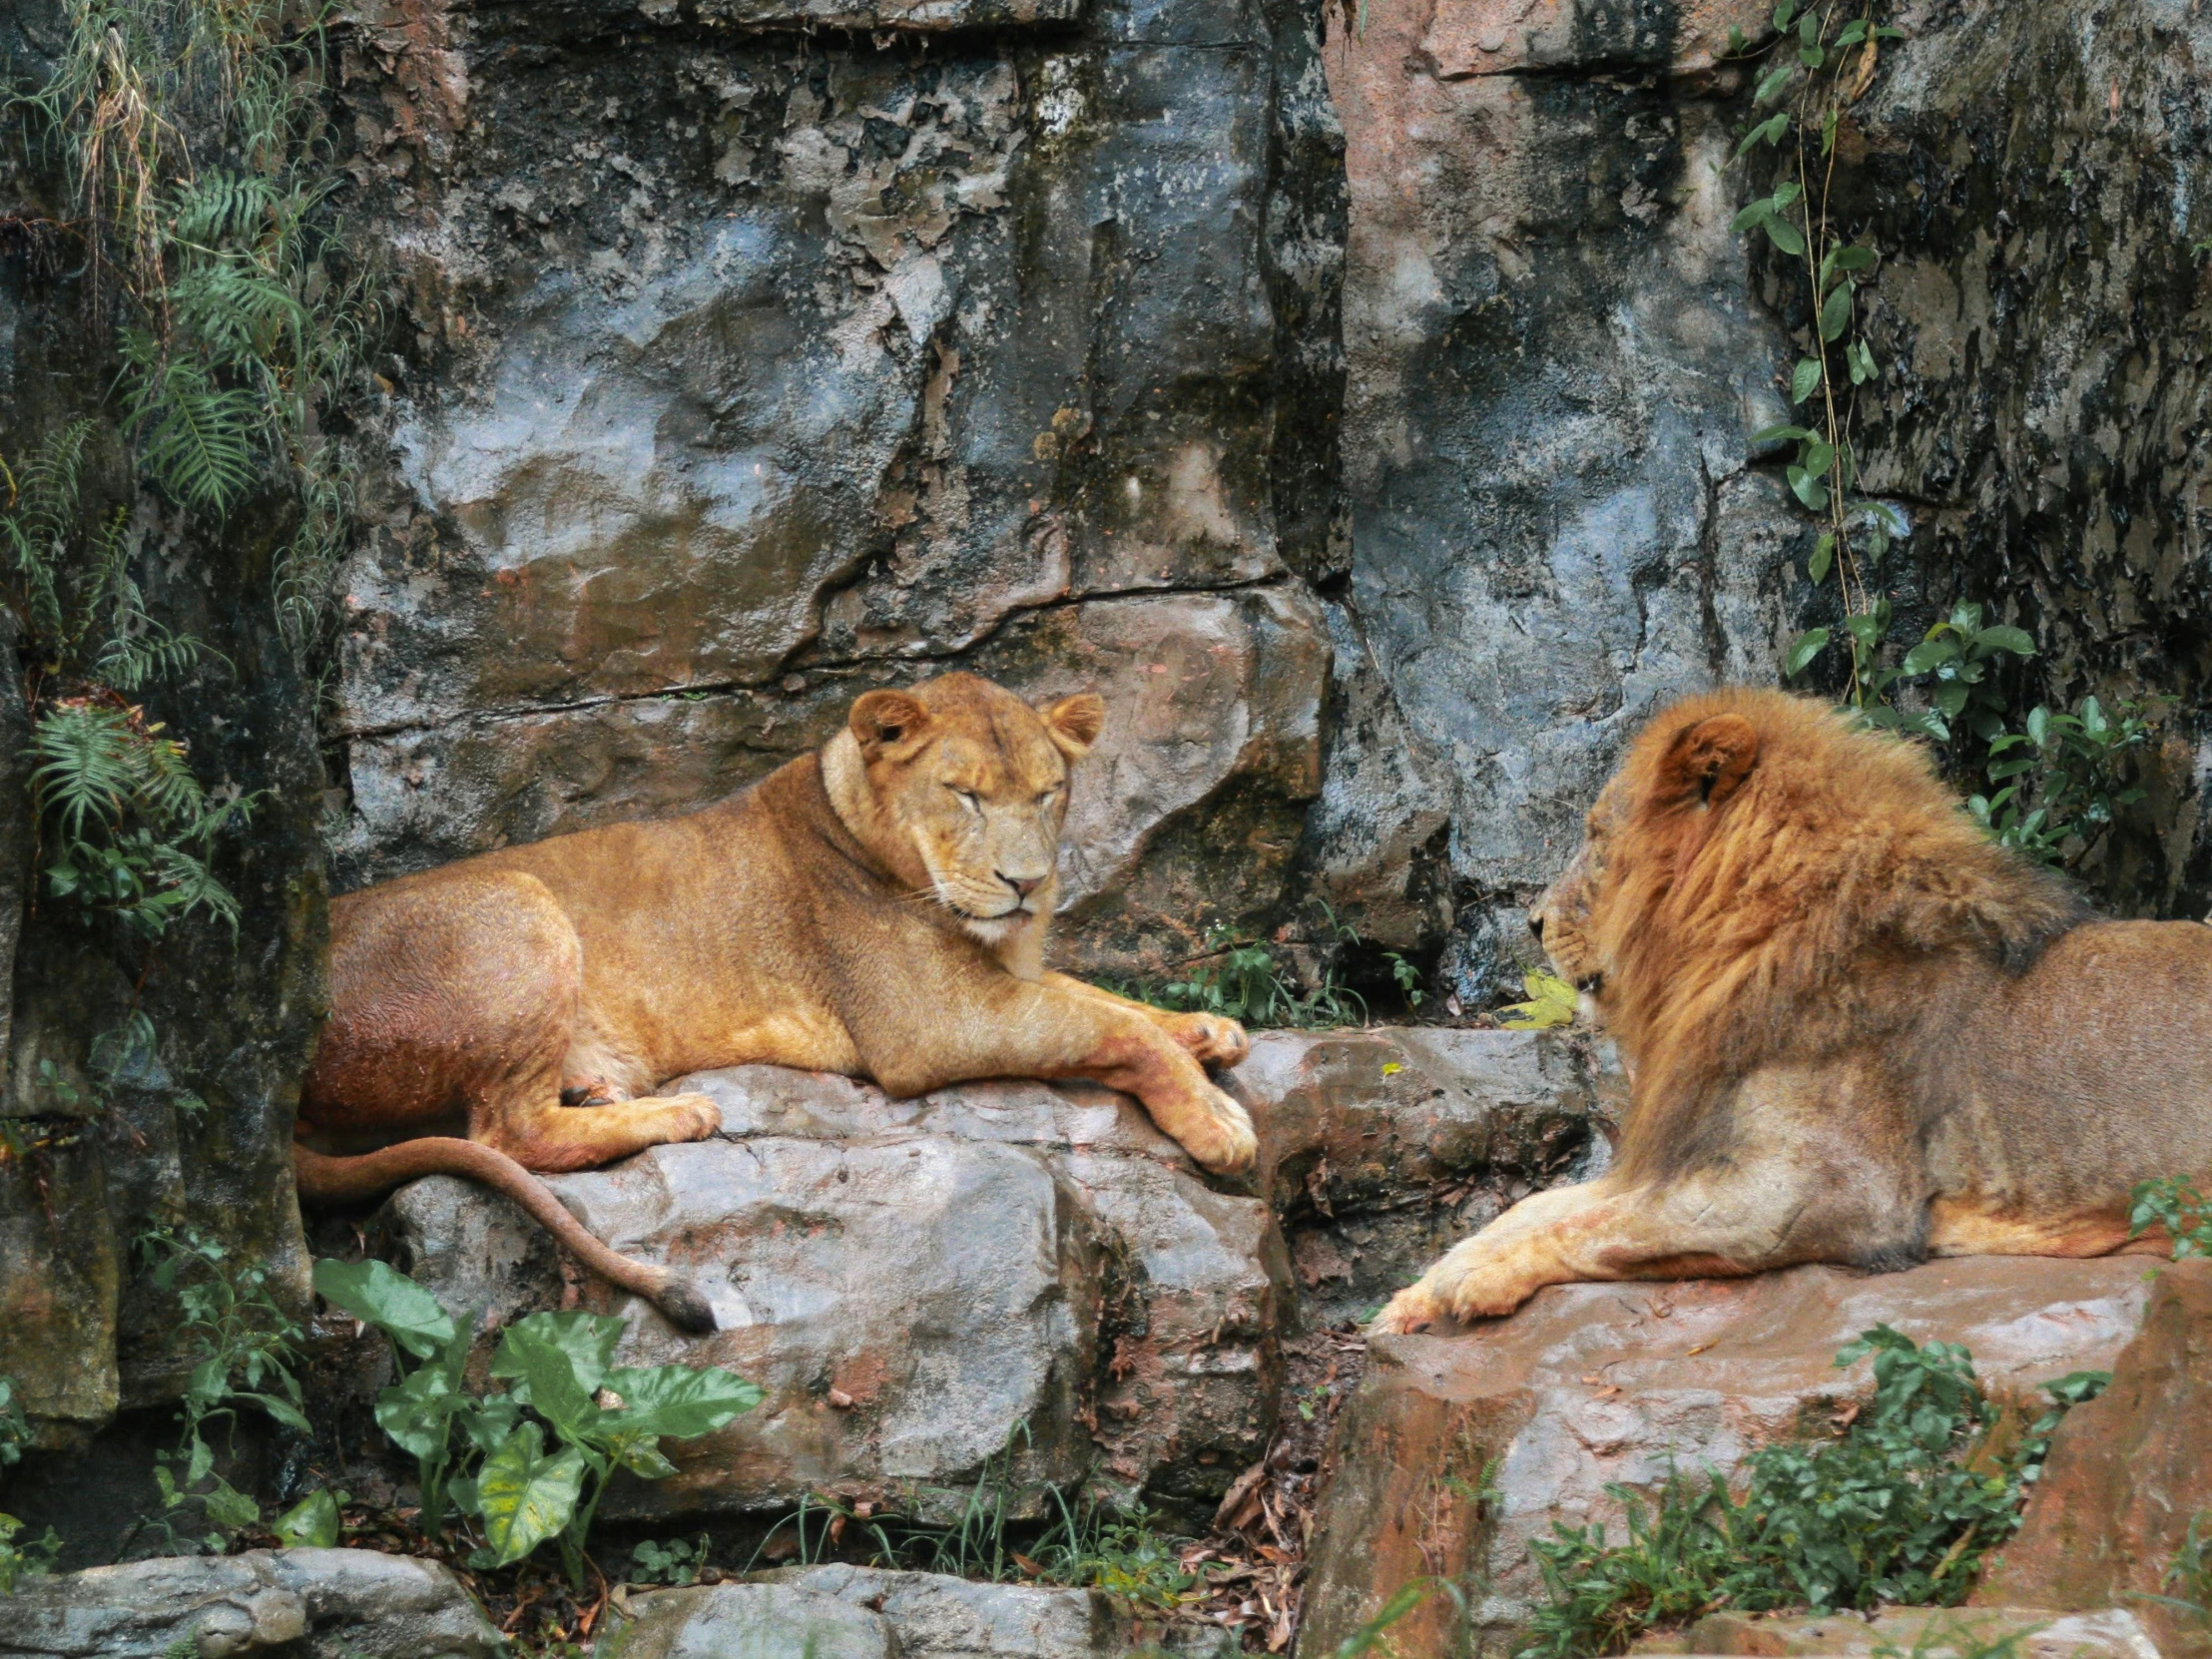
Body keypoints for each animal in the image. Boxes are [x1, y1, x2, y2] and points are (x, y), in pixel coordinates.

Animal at [300, 668, 1256, 1336]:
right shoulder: (931, 1024)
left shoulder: (996, 981)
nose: (1030, 884)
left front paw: (1209, 1031)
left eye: (1048, 791)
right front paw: (1216, 1122)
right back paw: (678, 1112)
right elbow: (1106, 1026)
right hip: (521, 905)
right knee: (508, 1132)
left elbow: (1102, 998)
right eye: (966, 793)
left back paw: (603, 1089)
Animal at [1380, 690, 2212, 1336]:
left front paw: (1473, 1281)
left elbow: (1598, 1227)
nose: (1532, 923)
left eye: (1595, 837)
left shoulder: (1830, 1193)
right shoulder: (1690, 1145)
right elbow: (1541, 1206)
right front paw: (1418, 1291)